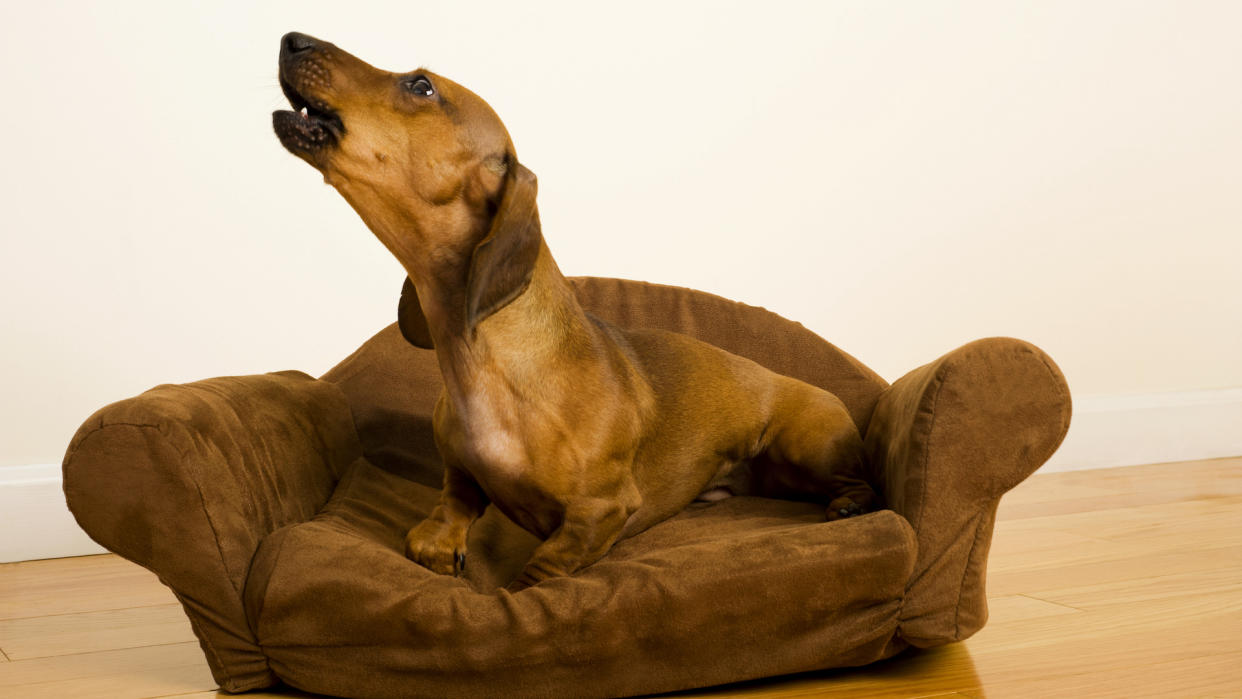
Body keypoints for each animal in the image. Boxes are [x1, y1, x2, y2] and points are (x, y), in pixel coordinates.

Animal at [274, 32, 874, 590]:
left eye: (422, 86)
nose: (291, 39)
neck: (490, 367)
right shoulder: (459, 474)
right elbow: (450, 509)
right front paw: (441, 543)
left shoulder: (600, 510)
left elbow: (545, 566)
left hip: (809, 444)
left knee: (858, 482)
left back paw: (850, 504)